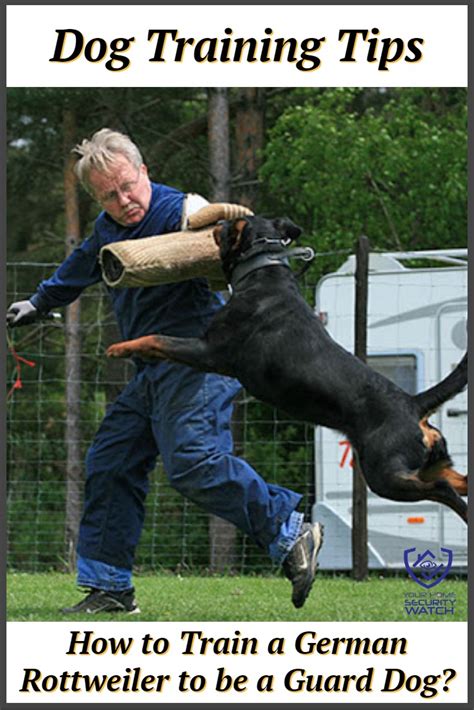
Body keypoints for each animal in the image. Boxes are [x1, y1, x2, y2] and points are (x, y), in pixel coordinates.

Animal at [106, 217, 466, 524]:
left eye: (229, 225)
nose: (216, 223)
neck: (263, 275)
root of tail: (414, 404)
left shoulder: (209, 352)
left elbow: (157, 338)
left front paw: (121, 347)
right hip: (425, 466)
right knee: (460, 481)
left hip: (385, 474)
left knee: (444, 490)